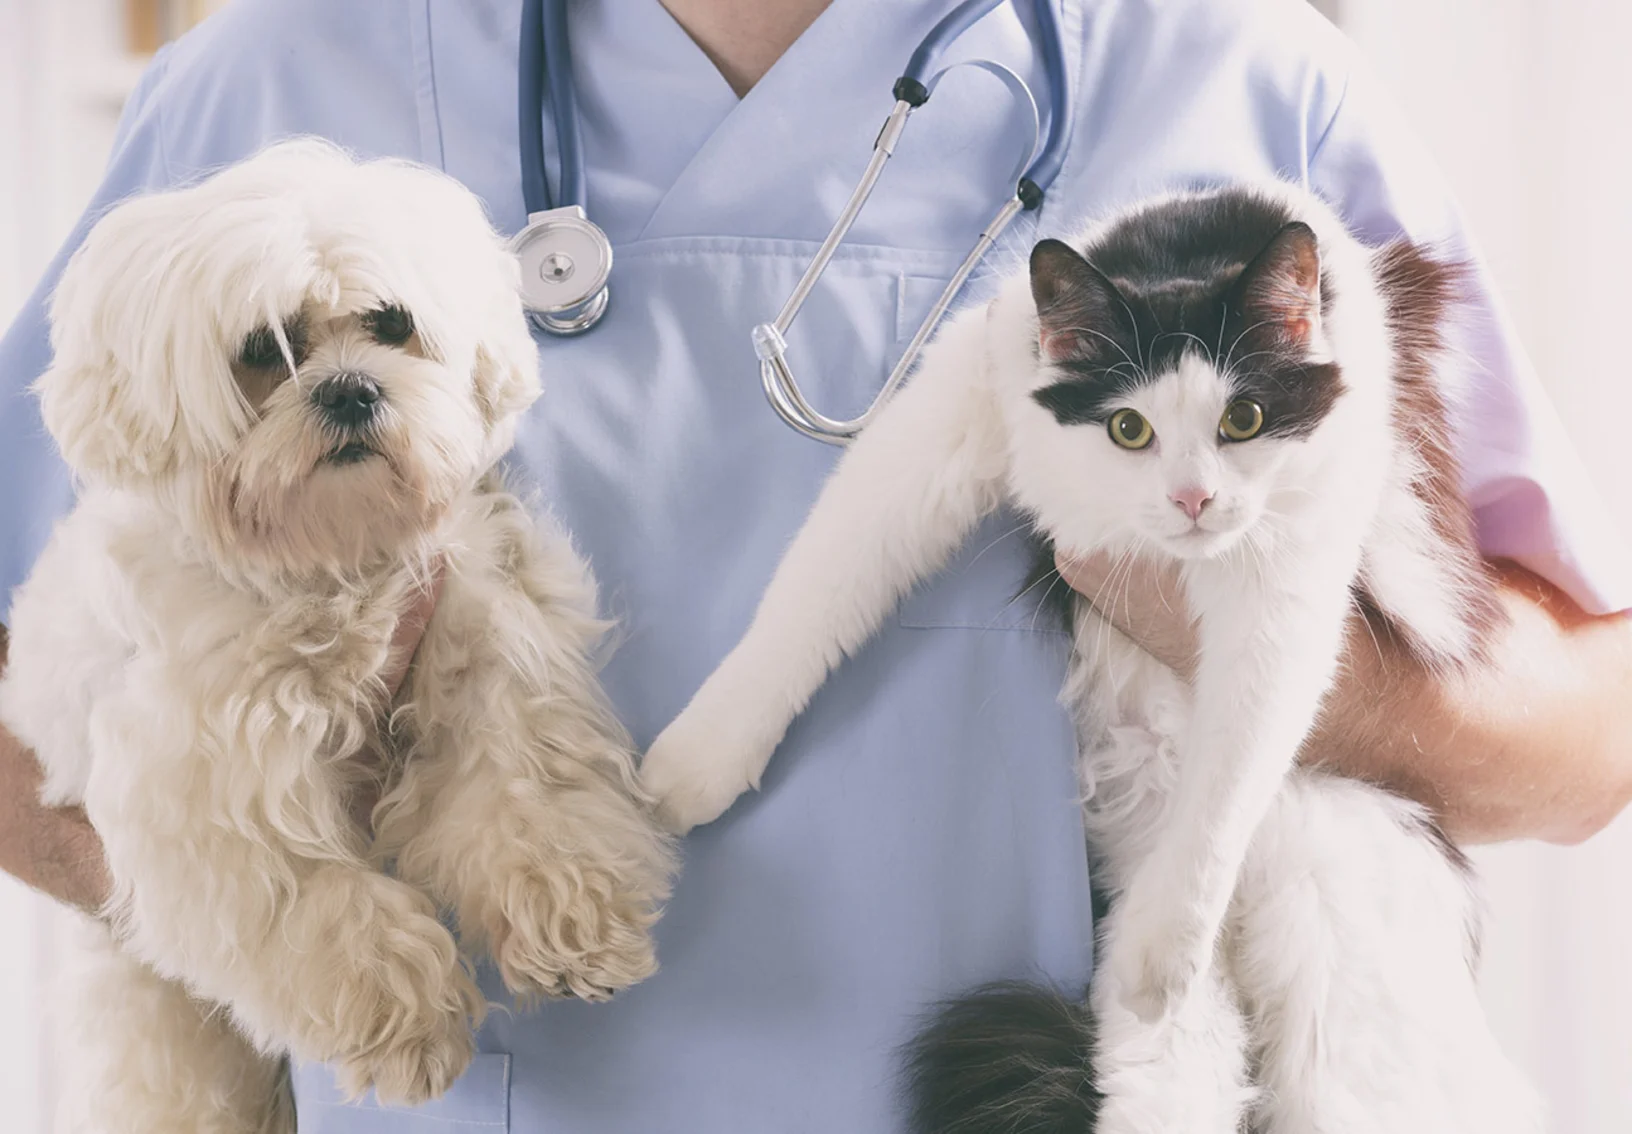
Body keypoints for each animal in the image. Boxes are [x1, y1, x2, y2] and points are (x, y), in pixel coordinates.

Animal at [0, 137, 675, 1129]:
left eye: (391, 323)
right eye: (261, 350)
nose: (351, 391)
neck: (331, 566)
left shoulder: (485, 651)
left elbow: (526, 798)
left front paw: (572, 921)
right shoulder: (217, 791)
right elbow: (320, 910)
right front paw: (408, 1024)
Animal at [639, 186, 1540, 1134]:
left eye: (1243, 419)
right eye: (1128, 427)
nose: (1192, 500)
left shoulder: (1287, 574)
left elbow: (1233, 768)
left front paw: (1166, 942)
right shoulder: (962, 409)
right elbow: (814, 586)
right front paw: (696, 763)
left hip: (1356, 1010)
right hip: (1179, 1049)